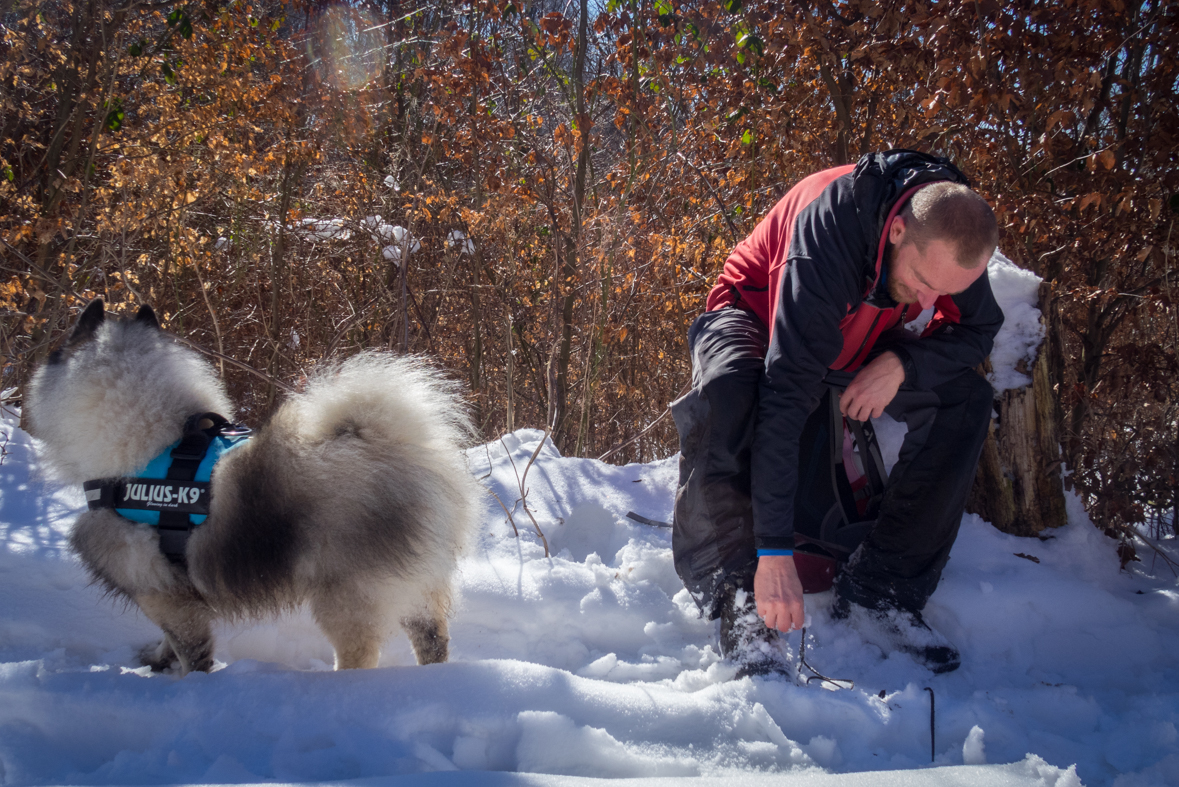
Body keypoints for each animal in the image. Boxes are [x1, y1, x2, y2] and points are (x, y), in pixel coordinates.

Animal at [27, 298, 478, 673]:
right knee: (432, 639)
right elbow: (170, 643)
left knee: (360, 655)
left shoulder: (162, 595)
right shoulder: (178, 592)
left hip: (346, 596)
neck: (150, 444)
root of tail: (404, 453)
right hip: (418, 585)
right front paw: (157, 661)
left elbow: (190, 650)